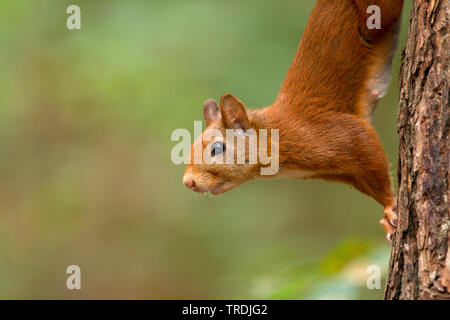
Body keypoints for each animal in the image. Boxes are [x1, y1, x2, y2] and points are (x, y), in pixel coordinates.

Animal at [183, 0, 404, 240]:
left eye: (217, 149)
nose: (188, 182)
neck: (277, 135)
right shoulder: (339, 173)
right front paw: (386, 218)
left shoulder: (339, 135)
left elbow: (370, 153)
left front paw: (390, 207)